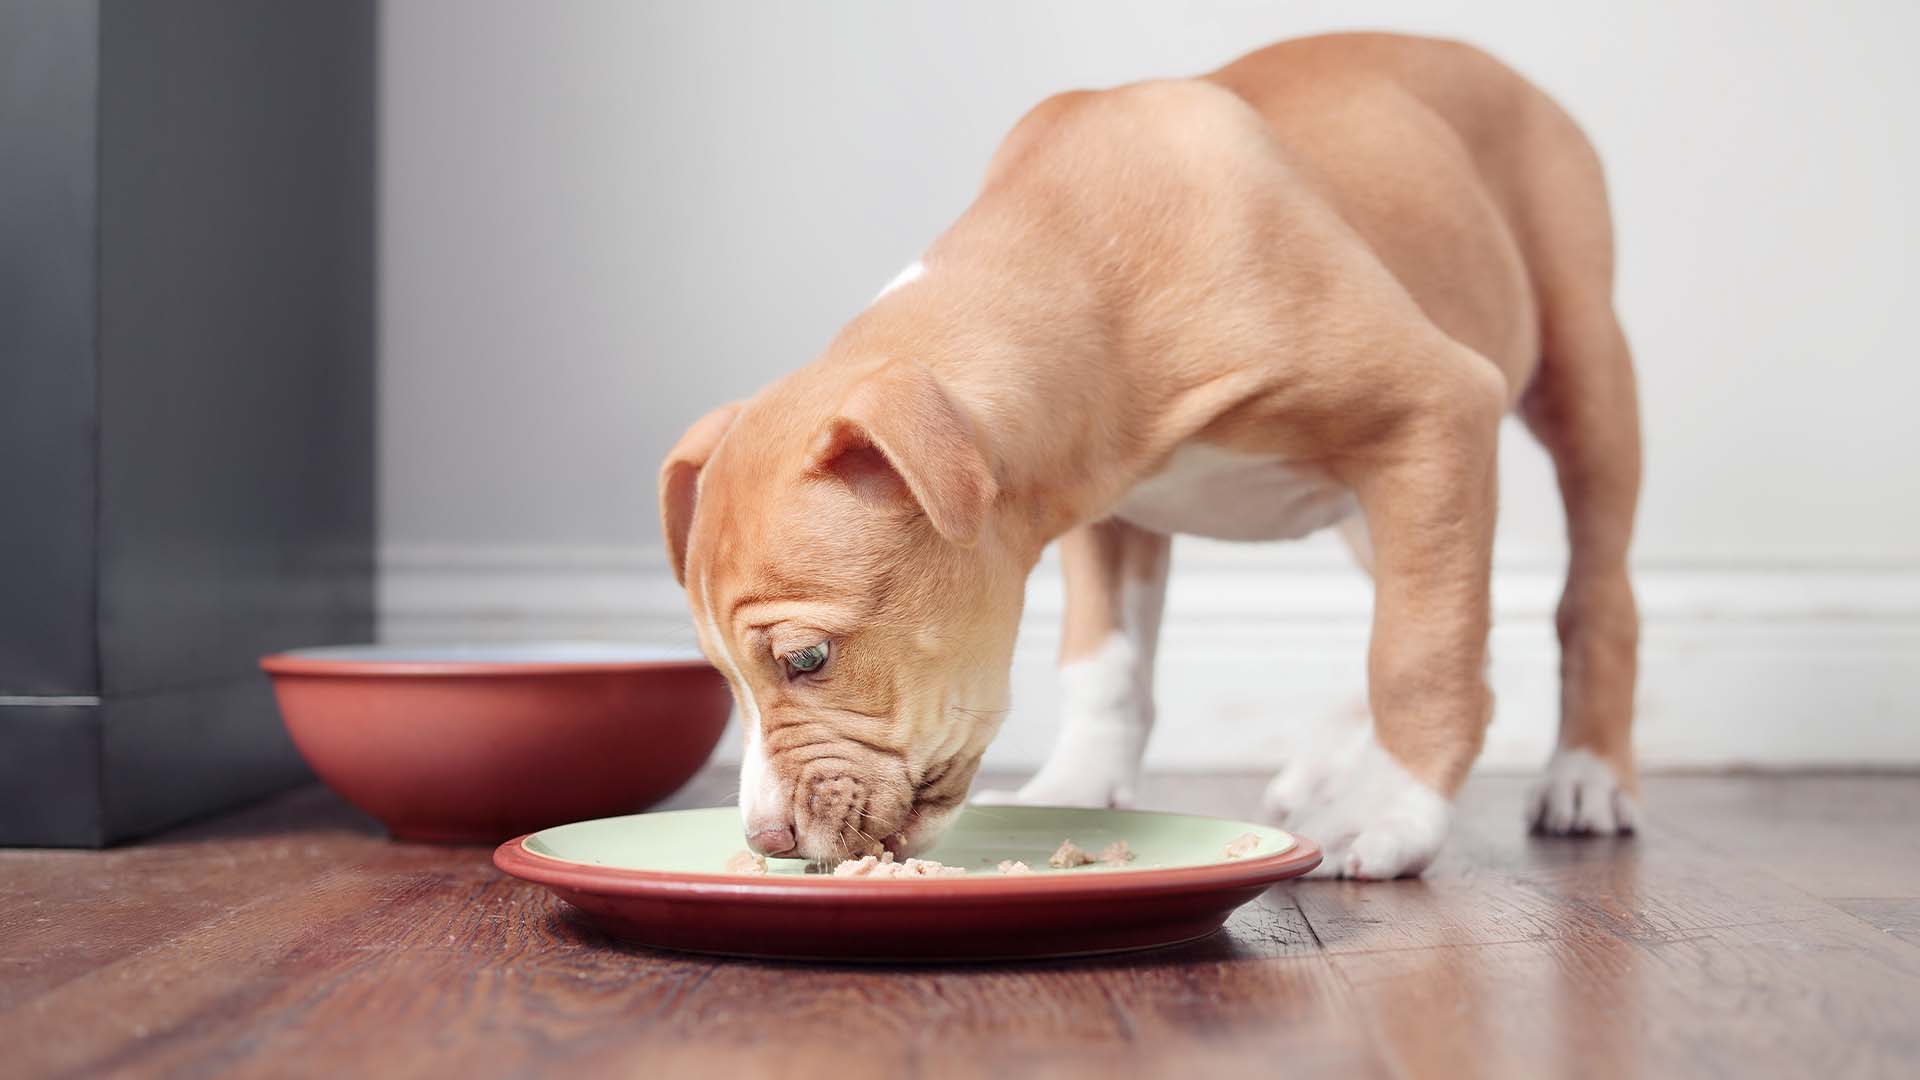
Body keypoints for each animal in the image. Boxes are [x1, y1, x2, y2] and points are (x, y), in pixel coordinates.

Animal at [656, 33, 1635, 876]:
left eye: (807, 660)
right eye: (721, 674)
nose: (768, 839)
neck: (1073, 256)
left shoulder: (1436, 409)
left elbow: (1419, 656)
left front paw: (1390, 811)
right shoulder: (1101, 508)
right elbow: (1105, 667)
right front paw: (1079, 786)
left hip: (1577, 384)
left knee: (1584, 599)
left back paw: (1582, 775)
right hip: (1385, 505)